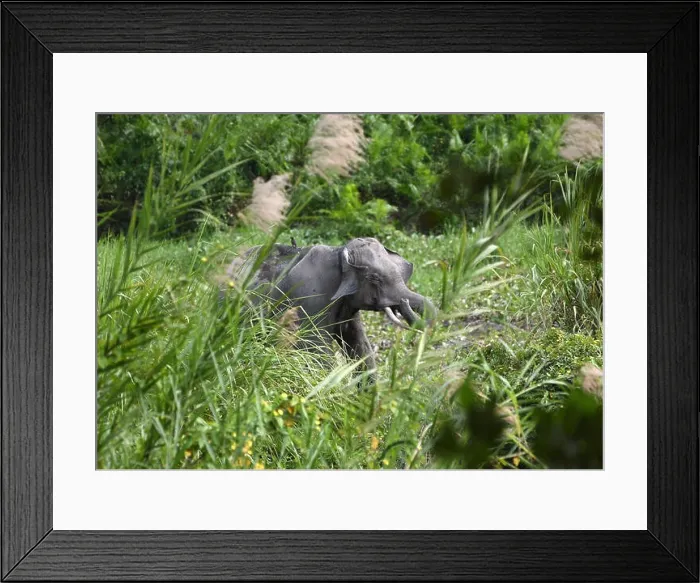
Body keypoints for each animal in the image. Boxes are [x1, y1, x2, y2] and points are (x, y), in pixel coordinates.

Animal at [224, 237, 437, 375]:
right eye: (374, 278)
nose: (404, 303)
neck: (339, 253)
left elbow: (361, 348)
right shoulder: (310, 299)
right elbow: (317, 351)